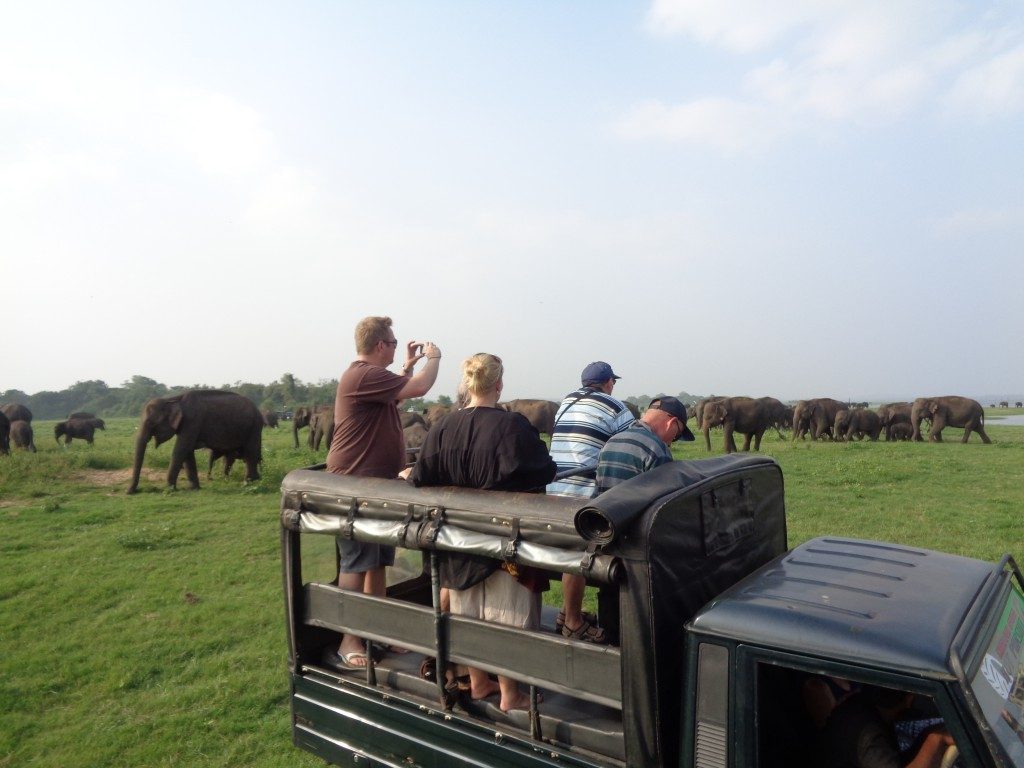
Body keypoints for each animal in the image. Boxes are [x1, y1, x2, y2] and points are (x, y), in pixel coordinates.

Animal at [126, 391, 264, 493]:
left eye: (150, 423)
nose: (129, 492)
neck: (173, 399)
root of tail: (258, 409)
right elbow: (187, 452)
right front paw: (193, 488)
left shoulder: (191, 421)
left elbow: (181, 449)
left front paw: (170, 489)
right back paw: (257, 479)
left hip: (255, 426)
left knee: (250, 452)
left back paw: (249, 482)